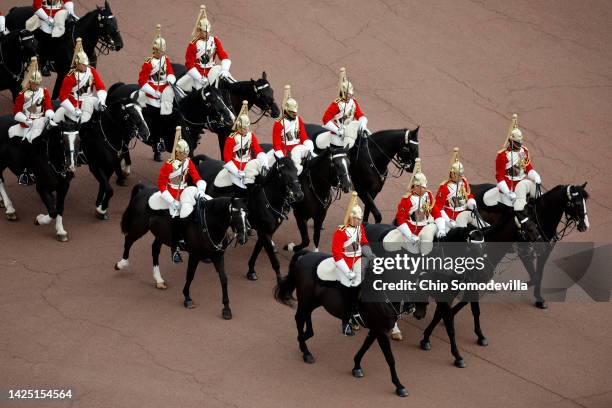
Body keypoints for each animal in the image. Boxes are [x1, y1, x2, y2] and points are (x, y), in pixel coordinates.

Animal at [115, 185, 249, 318]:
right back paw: (121, 264)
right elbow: (190, 275)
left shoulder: (218, 256)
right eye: (234, 214)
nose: (244, 238)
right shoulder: (195, 255)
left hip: (161, 234)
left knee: (155, 249)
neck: (208, 225)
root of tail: (143, 190)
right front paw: (187, 298)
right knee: (128, 240)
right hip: (139, 228)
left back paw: (159, 279)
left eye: (247, 214)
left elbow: (224, 279)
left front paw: (226, 308)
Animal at [197, 156, 302, 284]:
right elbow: (273, 259)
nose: (299, 195)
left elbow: (257, 250)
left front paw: (251, 271)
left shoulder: (267, 231)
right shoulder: (264, 231)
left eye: (296, 171)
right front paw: (280, 279)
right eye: (283, 173)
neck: (267, 199)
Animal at [274, 250, 424, 396]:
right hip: (305, 299)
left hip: (314, 301)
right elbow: (390, 358)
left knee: (306, 316)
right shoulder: (381, 331)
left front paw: (357, 366)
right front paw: (399, 385)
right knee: (299, 318)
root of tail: (305, 255)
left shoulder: (375, 329)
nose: (418, 313)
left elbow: (365, 347)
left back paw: (305, 338)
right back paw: (305, 351)